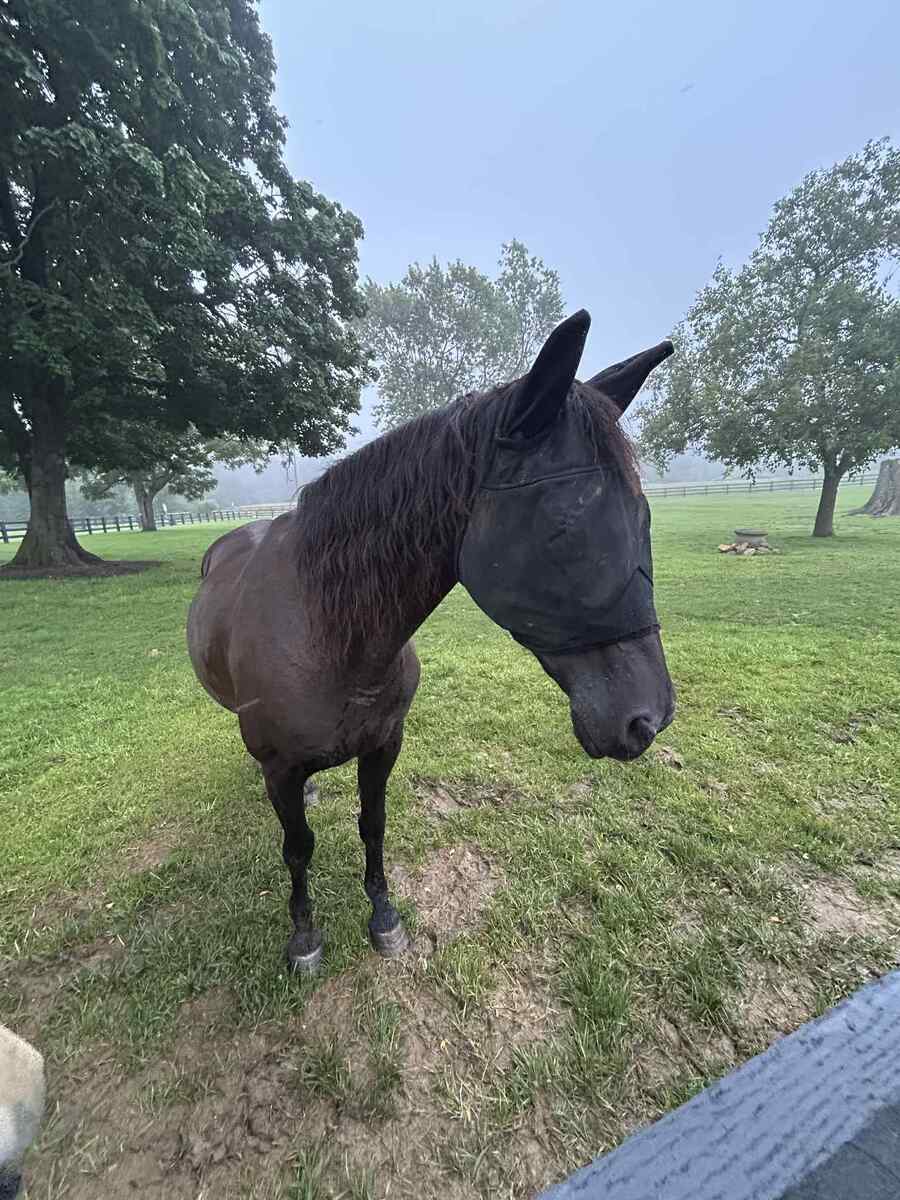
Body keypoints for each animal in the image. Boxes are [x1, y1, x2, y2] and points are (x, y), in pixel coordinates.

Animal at [187, 311, 675, 972]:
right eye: (566, 526)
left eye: (644, 519)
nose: (649, 717)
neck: (331, 636)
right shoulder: (282, 768)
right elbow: (298, 849)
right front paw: (304, 937)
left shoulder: (383, 745)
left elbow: (372, 825)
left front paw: (383, 916)